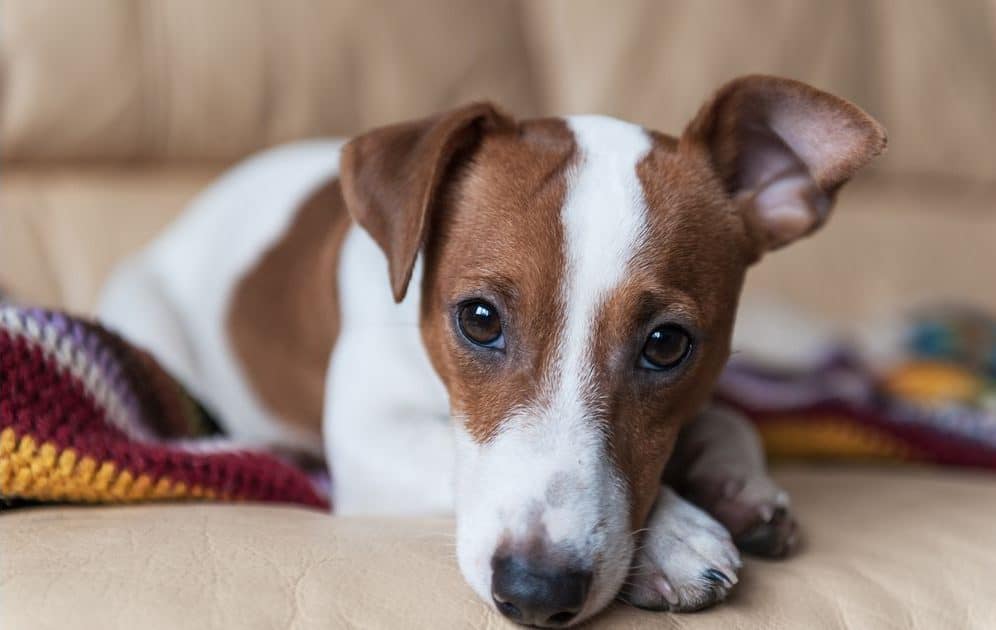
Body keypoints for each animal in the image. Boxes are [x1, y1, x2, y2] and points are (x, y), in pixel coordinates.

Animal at [97, 76, 884, 628]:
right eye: (478, 320)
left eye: (667, 344)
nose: (537, 592)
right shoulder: (372, 441)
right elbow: (456, 464)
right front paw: (676, 532)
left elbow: (731, 417)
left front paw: (734, 484)